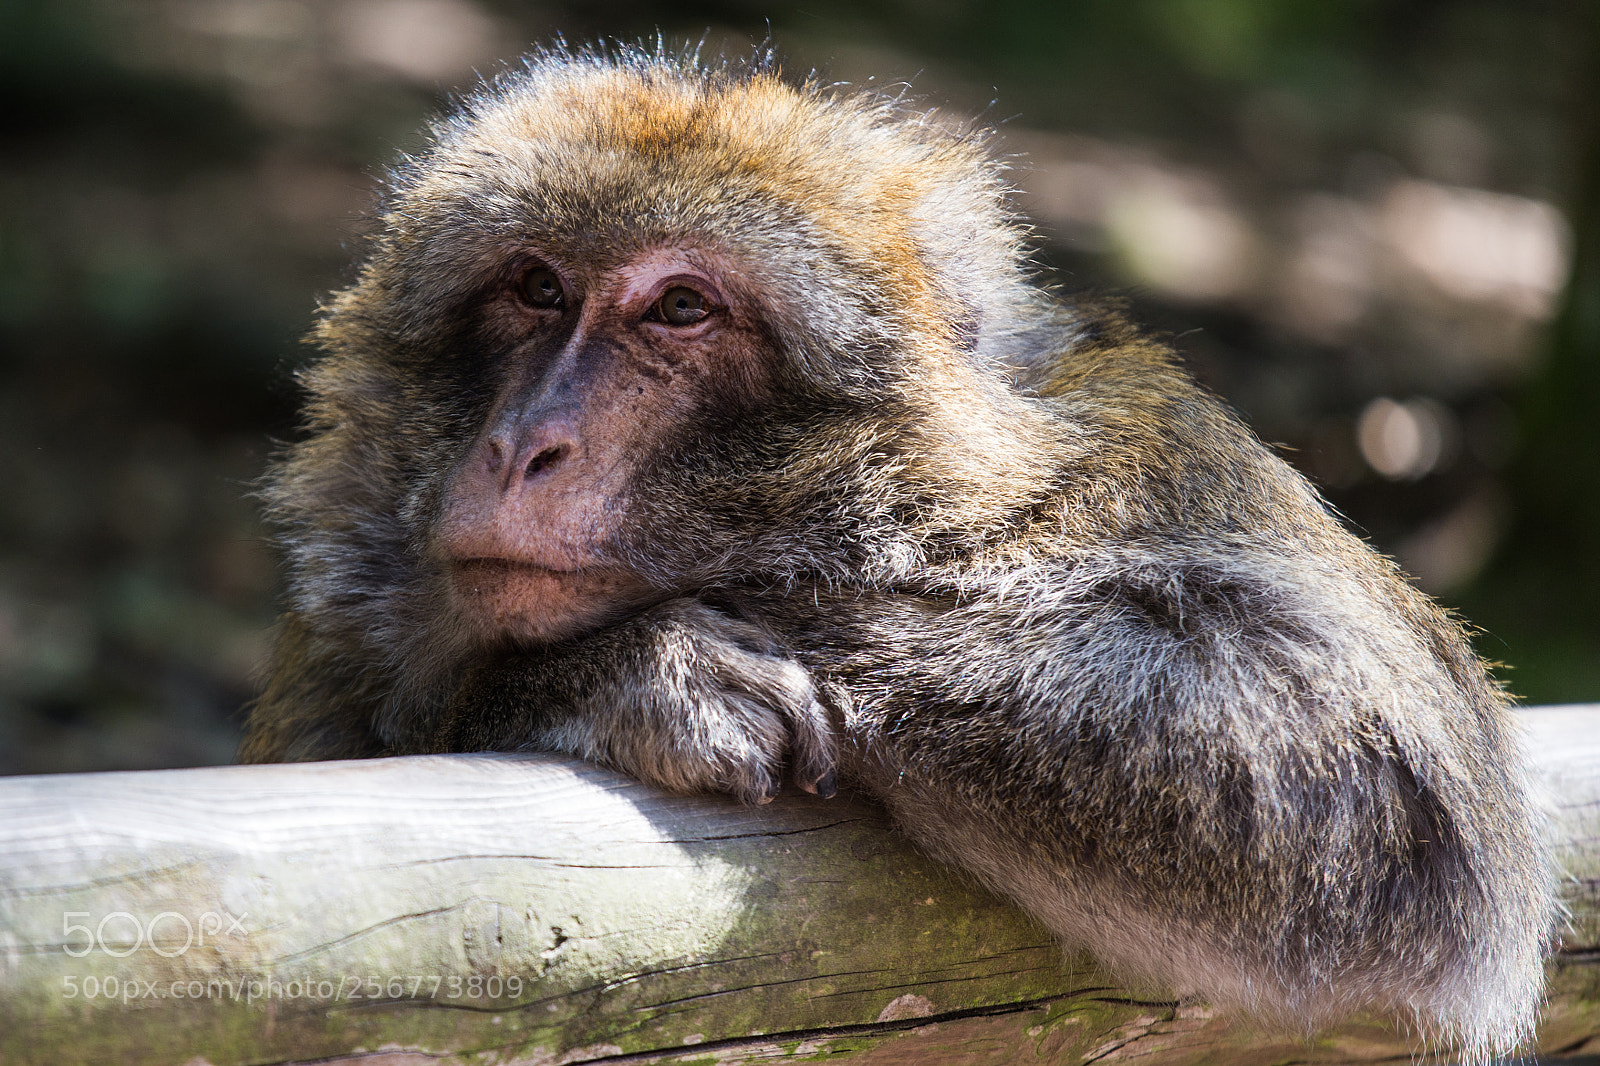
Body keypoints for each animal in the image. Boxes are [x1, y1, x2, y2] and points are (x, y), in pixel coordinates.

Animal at [239, 44, 1554, 1061]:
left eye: (680, 308)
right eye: (535, 285)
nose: (523, 446)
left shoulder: (1156, 465)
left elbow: (1378, 770)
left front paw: (605, 664)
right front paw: (610, 670)